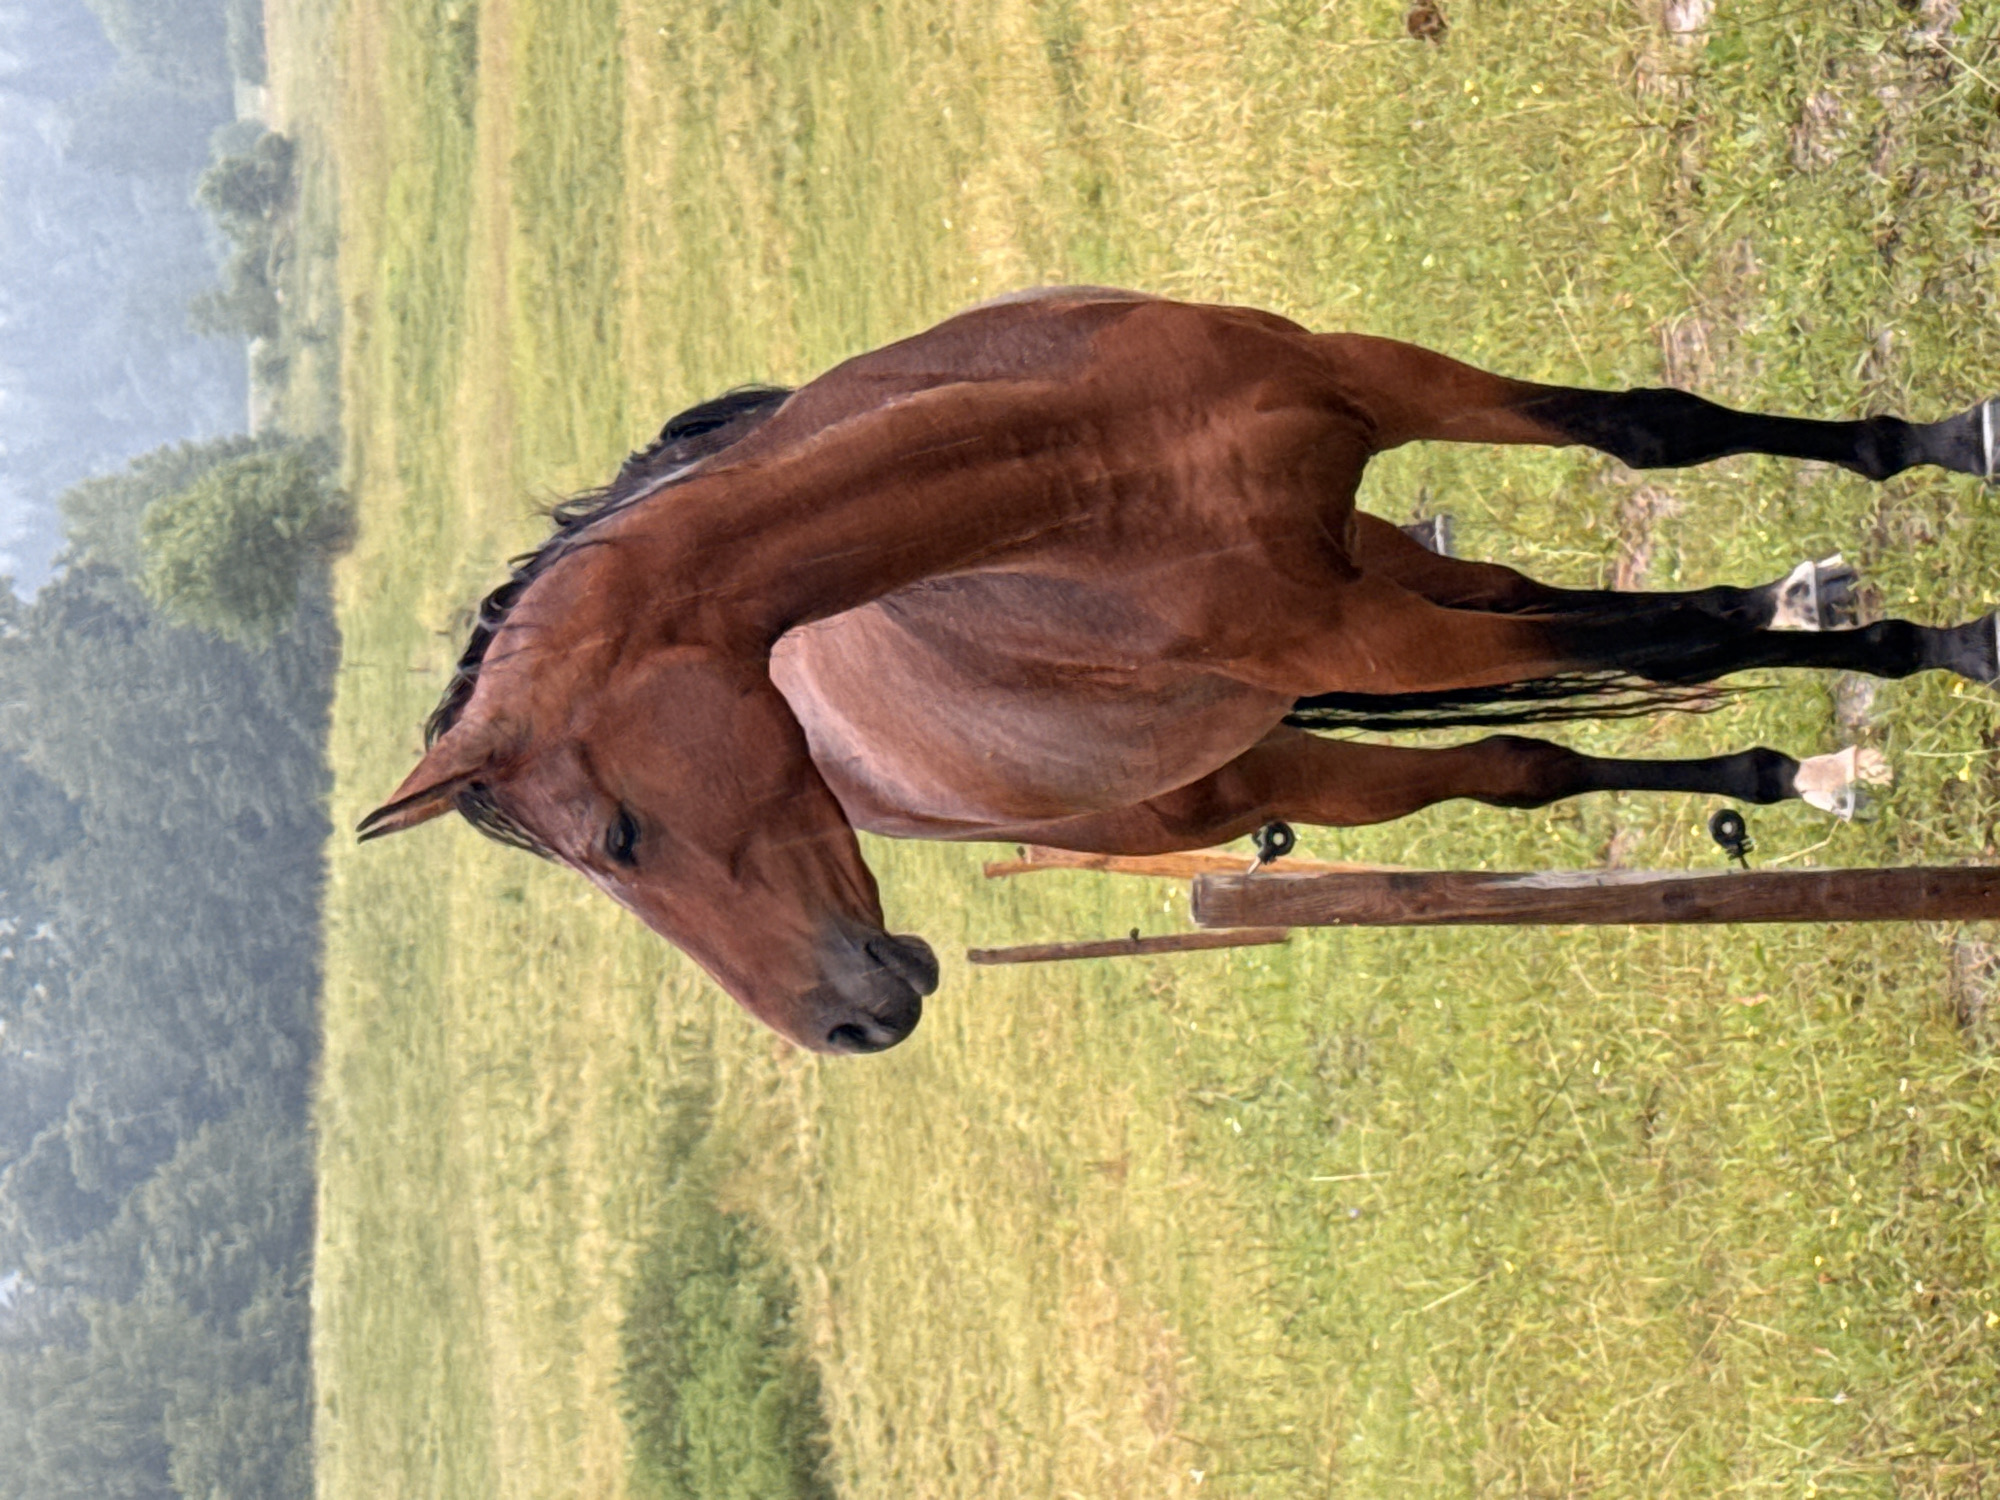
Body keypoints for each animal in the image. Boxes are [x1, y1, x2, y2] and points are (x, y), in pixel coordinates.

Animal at [357, 287, 2000, 1055]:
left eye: (618, 839)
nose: (845, 1026)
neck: (1083, 466)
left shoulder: (1373, 383)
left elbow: (1656, 432)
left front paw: (1939, 459)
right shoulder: (1354, 642)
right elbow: (1673, 633)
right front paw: (1950, 648)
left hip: (1377, 561)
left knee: (1537, 678)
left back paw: (1789, 735)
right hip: (1272, 762)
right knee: (1511, 766)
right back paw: (1787, 761)